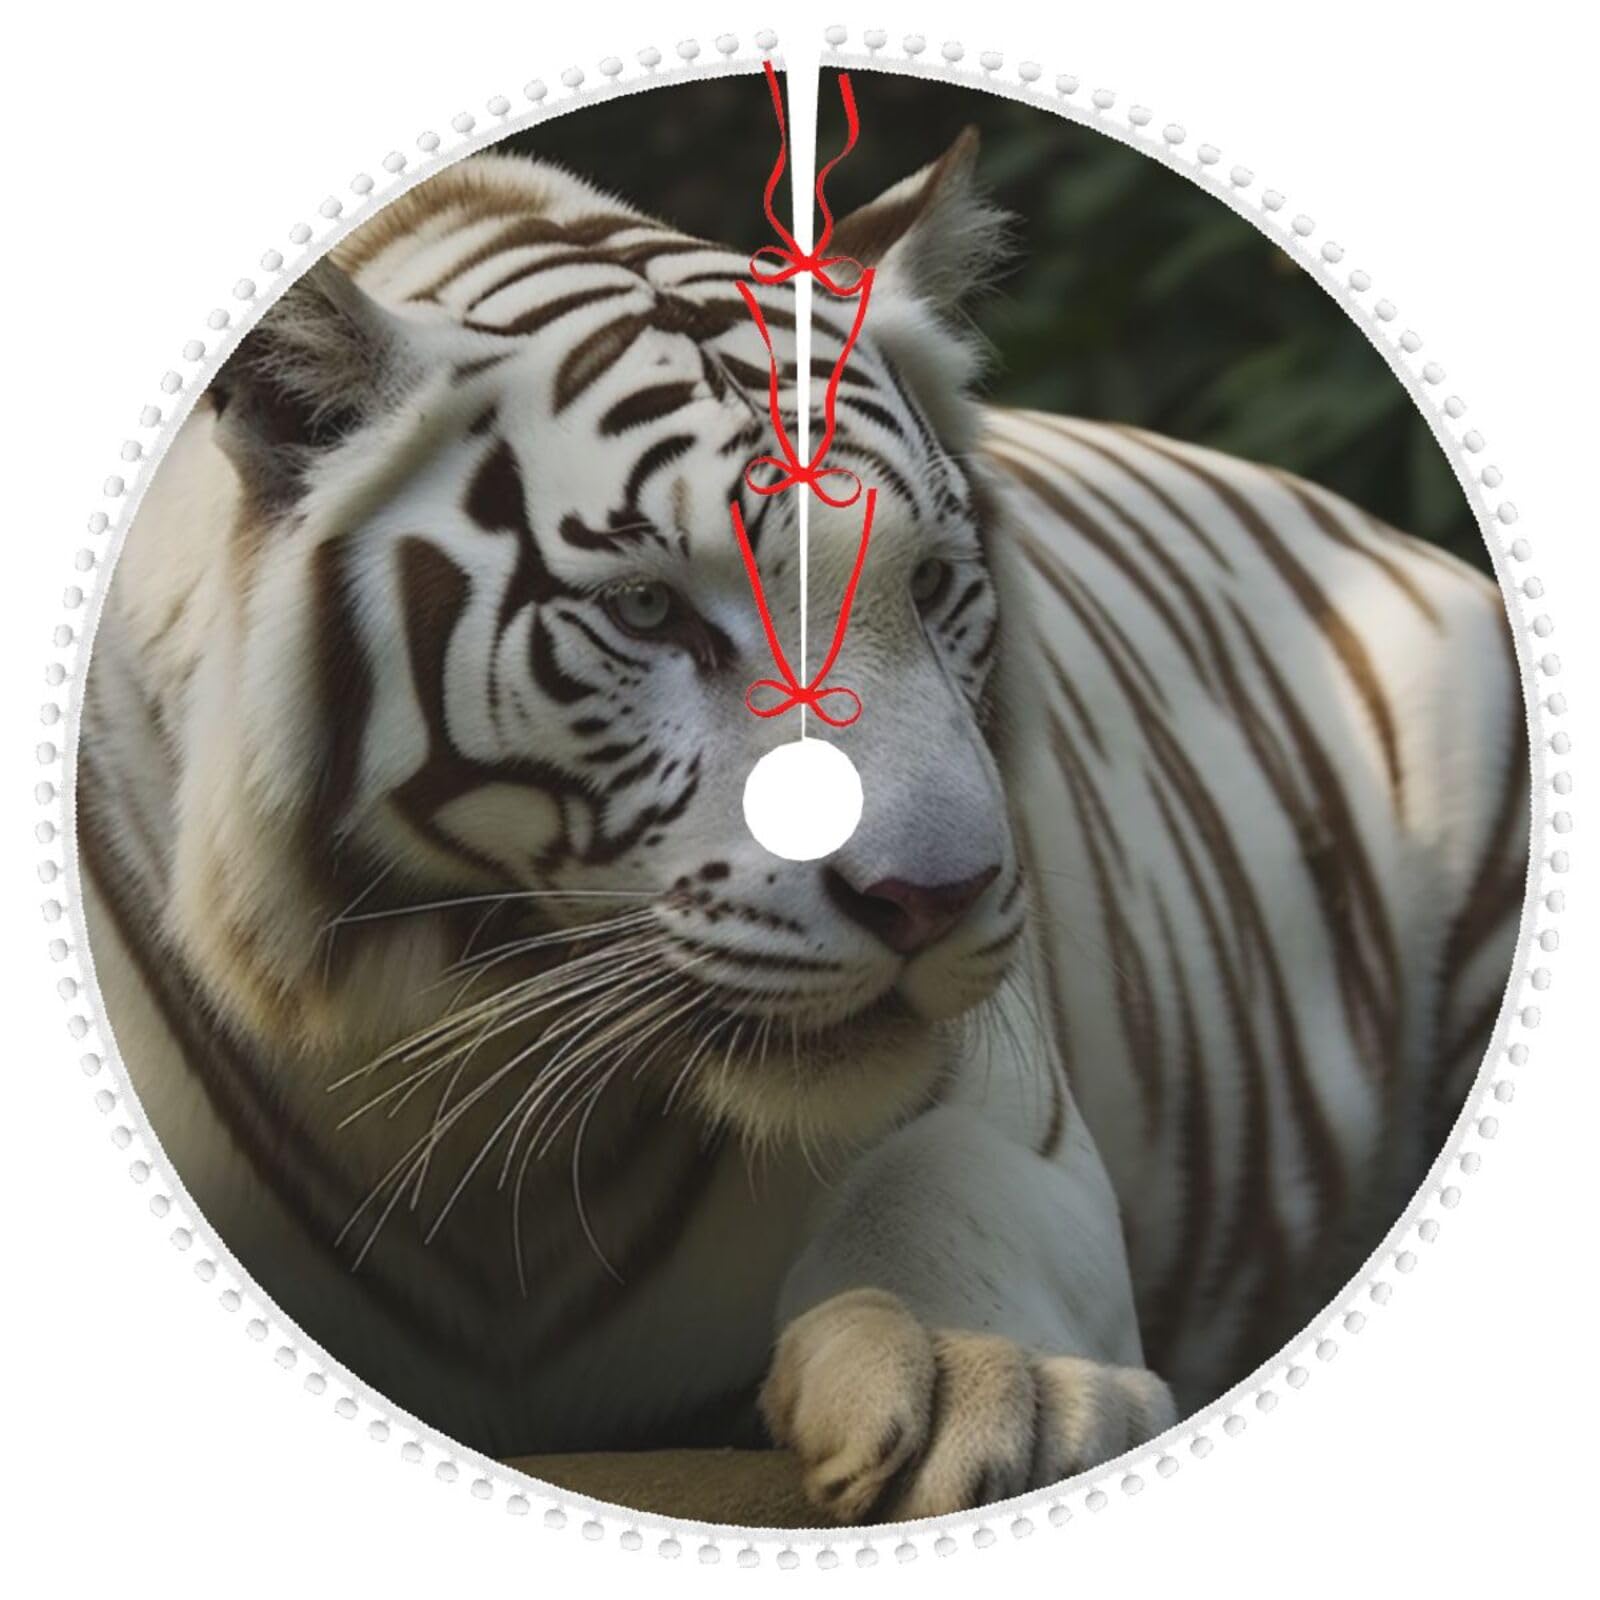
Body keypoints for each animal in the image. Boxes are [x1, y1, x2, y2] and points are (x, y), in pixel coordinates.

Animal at [77, 126, 1527, 1525]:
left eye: (930, 585)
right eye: (651, 610)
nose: (932, 900)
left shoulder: (1010, 1111)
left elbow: (939, 1196)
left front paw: (986, 1386)